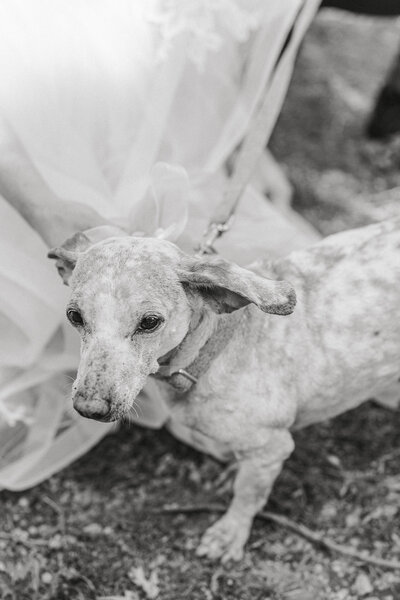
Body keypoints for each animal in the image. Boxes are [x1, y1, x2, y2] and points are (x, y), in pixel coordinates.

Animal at [49, 219, 400, 564]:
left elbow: (246, 495)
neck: (213, 349)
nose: (89, 408)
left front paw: (229, 534)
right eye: (74, 316)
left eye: (149, 322)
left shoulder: (271, 449)